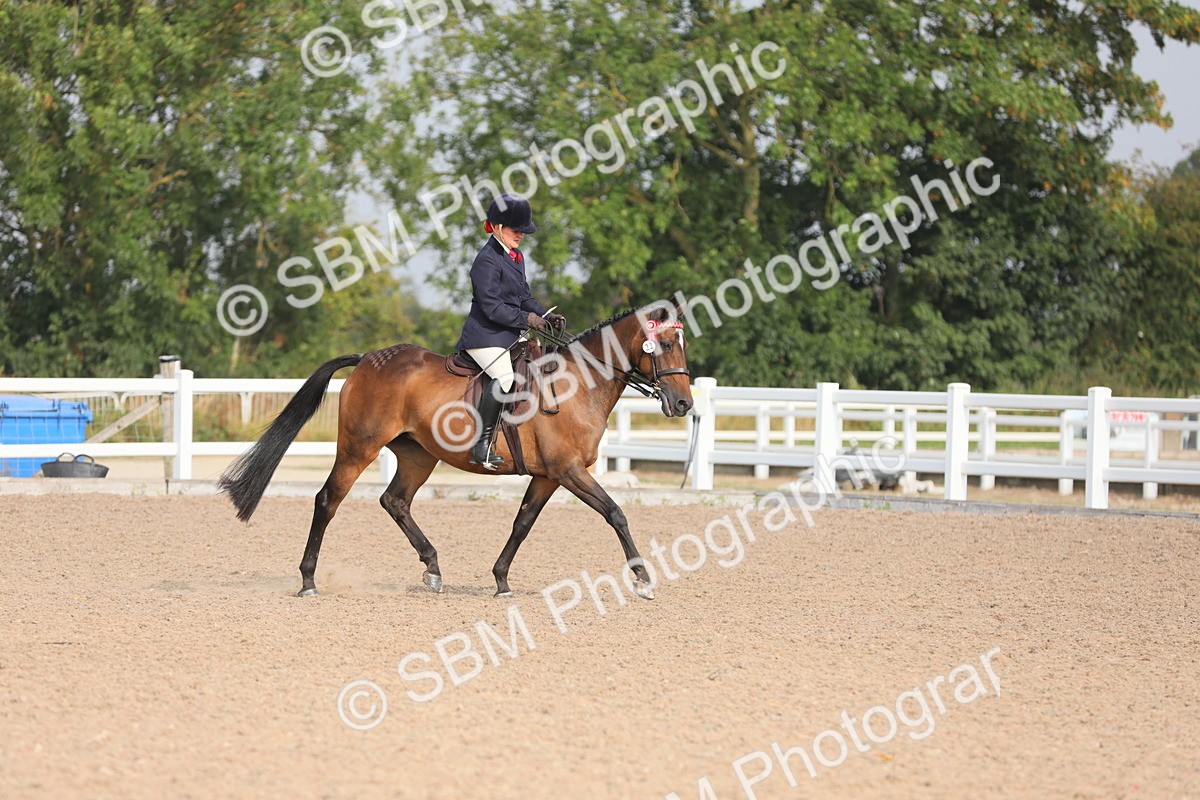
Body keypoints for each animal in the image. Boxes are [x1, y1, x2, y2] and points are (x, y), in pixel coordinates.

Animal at [217, 304, 693, 600]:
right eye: (665, 345)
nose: (684, 404)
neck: (577, 386)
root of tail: (368, 358)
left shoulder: (547, 476)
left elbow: (522, 524)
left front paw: (501, 580)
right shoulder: (569, 471)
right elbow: (616, 513)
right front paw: (643, 579)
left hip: (417, 455)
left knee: (394, 501)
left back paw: (432, 569)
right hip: (359, 448)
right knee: (327, 500)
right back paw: (309, 580)